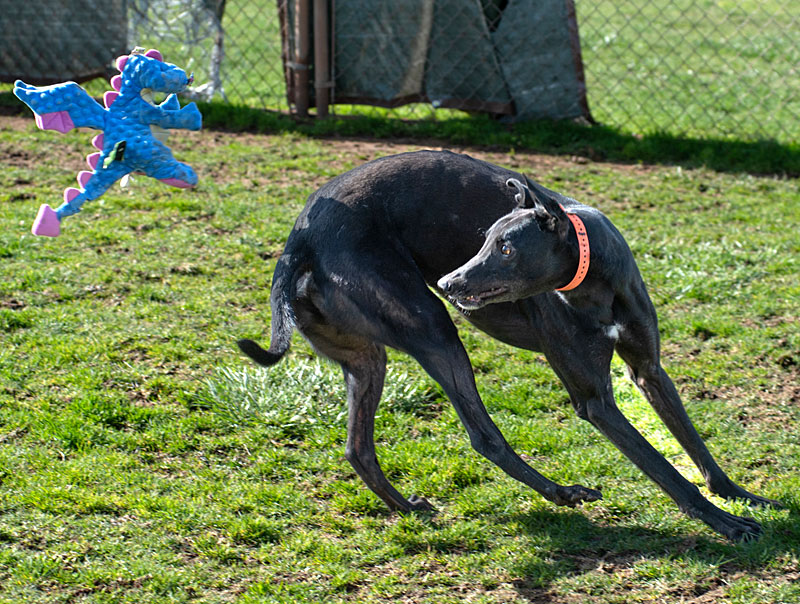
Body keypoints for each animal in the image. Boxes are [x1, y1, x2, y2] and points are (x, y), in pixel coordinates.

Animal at [238, 149, 776, 540]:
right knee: (484, 436)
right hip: (433, 329)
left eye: (505, 247)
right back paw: (561, 492)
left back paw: (408, 506)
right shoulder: (596, 401)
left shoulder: (648, 369)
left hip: (366, 358)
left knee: (358, 448)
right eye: (483, 240)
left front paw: (739, 496)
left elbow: (692, 442)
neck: (591, 280)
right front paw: (725, 524)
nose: (449, 282)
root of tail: (298, 244)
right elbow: (663, 468)